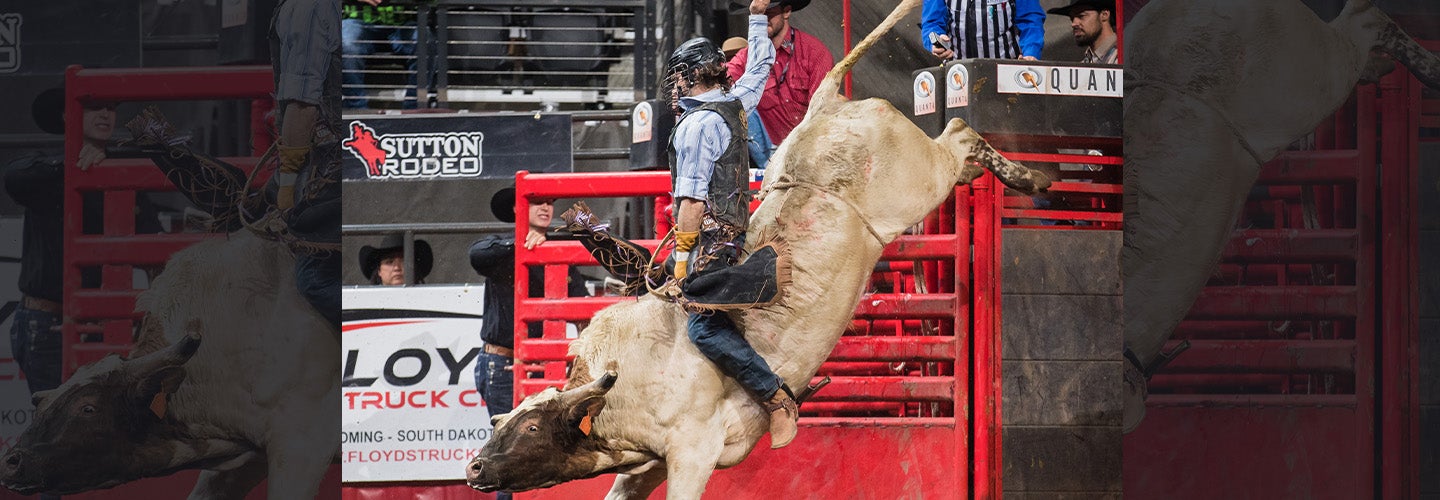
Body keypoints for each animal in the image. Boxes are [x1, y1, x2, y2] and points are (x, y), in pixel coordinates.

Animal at [466, 0, 1054, 498]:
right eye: (499, 420)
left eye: (531, 425)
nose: (473, 467)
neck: (620, 383)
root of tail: (829, 106)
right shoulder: (648, 463)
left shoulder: (691, 452)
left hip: (919, 180)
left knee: (958, 130)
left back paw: (1029, 176)